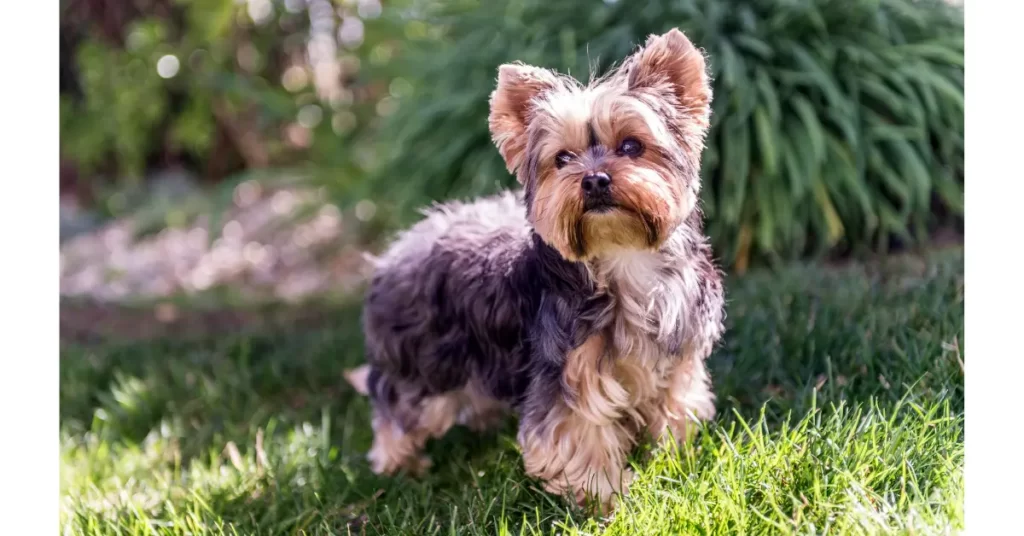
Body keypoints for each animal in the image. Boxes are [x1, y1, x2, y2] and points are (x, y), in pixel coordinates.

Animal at [348, 28, 724, 512]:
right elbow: (579, 436)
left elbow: (675, 405)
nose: (594, 179)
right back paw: (399, 465)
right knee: (396, 405)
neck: (623, 257)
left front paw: (672, 458)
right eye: (562, 159)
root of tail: (394, 253)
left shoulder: (677, 356)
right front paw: (605, 501)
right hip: (424, 361)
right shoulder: (567, 372)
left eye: (631, 146)